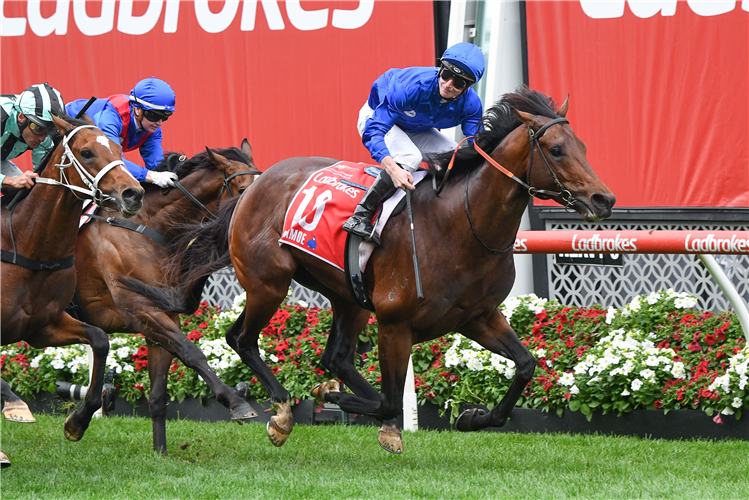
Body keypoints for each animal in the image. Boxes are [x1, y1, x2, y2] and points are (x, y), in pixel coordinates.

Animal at [0, 114, 145, 464]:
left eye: (119, 148)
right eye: (87, 152)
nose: (133, 193)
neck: (29, 246)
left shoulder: (43, 327)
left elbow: (100, 340)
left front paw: (77, 422)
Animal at [124, 87, 612, 454]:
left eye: (585, 147)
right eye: (556, 149)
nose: (603, 199)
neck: (462, 224)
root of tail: (254, 186)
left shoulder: (477, 316)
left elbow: (526, 365)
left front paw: (474, 417)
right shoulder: (396, 323)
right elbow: (390, 399)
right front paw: (336, 401)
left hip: (346, 294)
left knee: (334, 356)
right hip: (268, 283)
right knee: (241, 339)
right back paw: (280, 412)